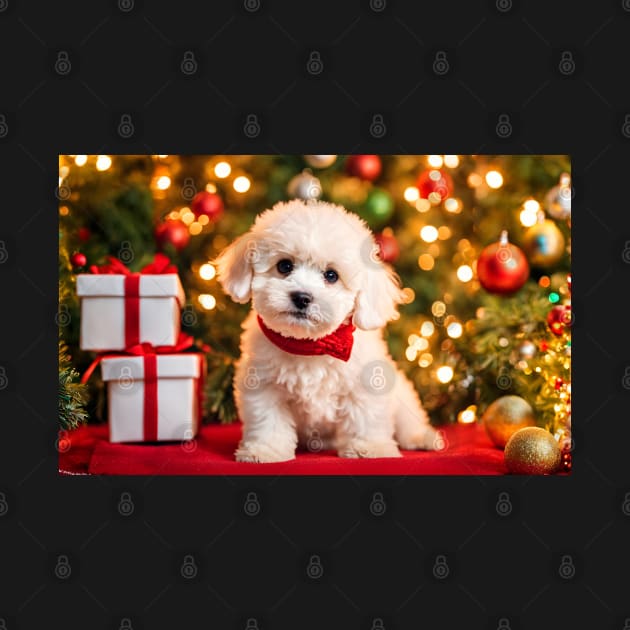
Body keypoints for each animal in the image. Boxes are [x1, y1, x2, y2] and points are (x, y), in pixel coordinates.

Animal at [217, 200, 440, 462]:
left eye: (331, 275)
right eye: (284, 266)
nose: (302, 297)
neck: (310, 345)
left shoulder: (365, 383)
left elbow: (365, 416)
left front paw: (369, 448)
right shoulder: (263, 384)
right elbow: (268, 420)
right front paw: (266, 449)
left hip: (402, 397)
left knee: (408, 423)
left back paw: (423, 438)